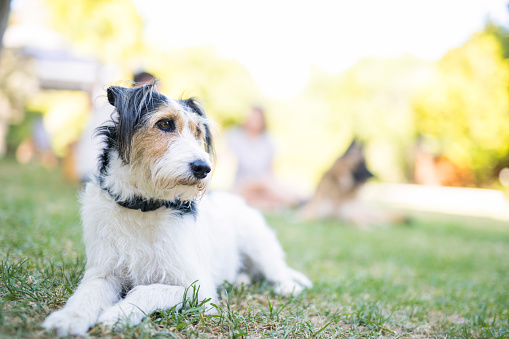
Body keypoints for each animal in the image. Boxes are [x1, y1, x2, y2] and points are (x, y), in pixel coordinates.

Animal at [42, 83, 310, 338]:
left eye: (198, 132)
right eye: (165, 123)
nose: (204, 168)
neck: (144, 205)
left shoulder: (198, 289)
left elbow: (149, 290)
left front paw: (119, 313)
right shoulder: (102, 273)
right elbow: (86, 294)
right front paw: (68, 318)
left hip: (258, 243)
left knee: (277, 271)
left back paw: (287, 286)